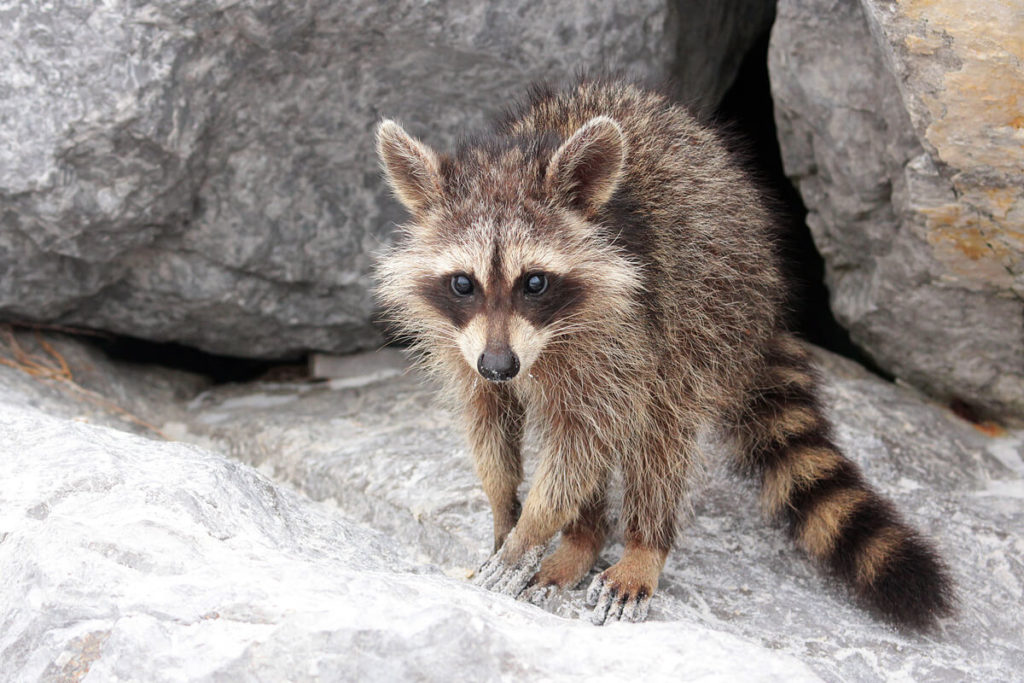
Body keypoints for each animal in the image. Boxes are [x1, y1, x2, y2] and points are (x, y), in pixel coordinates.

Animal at [372, 77, 954, 626]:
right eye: (463, 283)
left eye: (534, 282)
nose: (500, 367)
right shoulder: (463, 345)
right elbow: (487, 419)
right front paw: (502, 509)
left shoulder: (623, 331)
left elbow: (584, 445)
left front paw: (531, 529)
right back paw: (582, 539)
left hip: (708, 314)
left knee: (660, 428)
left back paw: (640, 544)